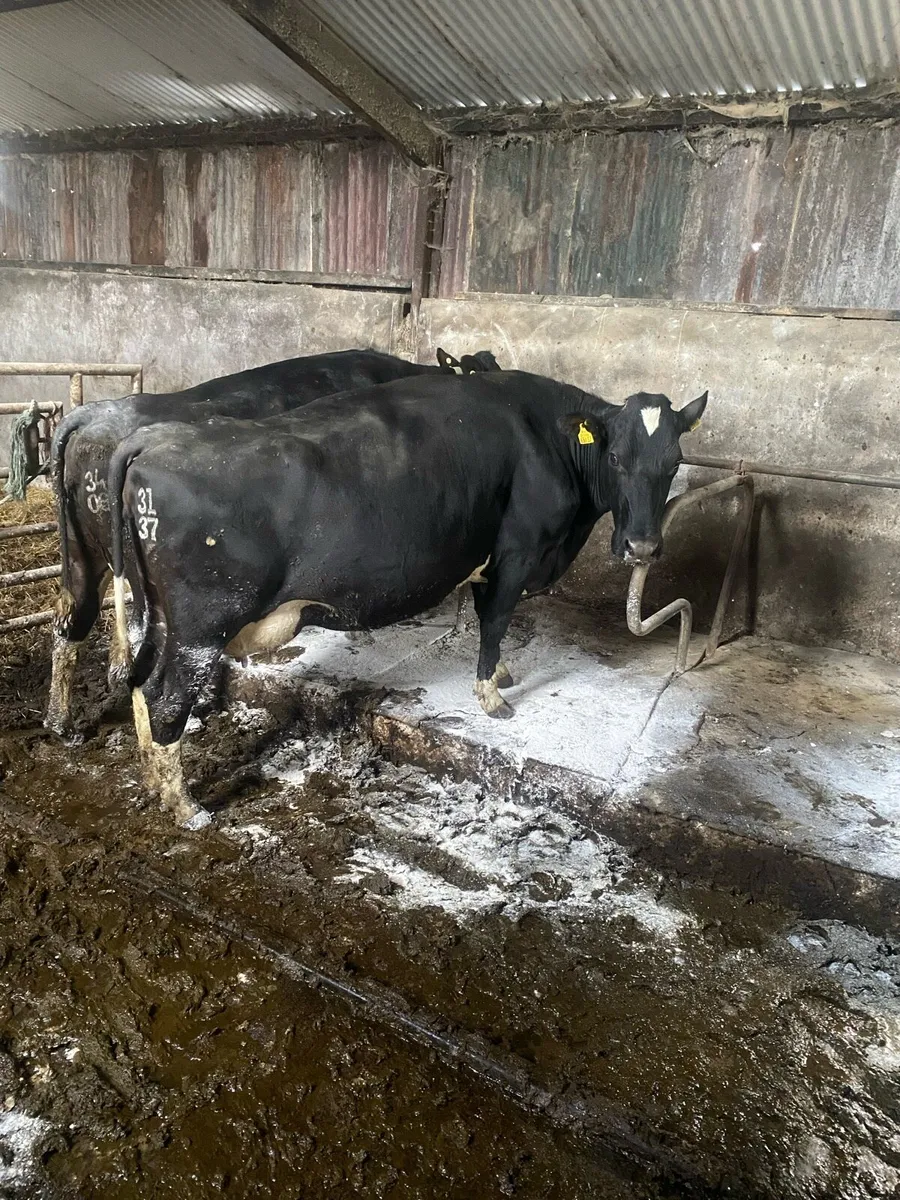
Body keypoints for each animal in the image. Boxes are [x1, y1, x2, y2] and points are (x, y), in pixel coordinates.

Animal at [106, 370, 707, 828]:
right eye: (617, 457)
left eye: (674, 461)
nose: (642, 546)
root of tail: (153, 439)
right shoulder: (514, 554)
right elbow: (496, 621)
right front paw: (492, 695)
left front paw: (501, 673)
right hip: (201, 626)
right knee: (166, 697)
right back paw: (186, 807)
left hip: (156, 616)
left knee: (140, 685)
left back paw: (154, 779)